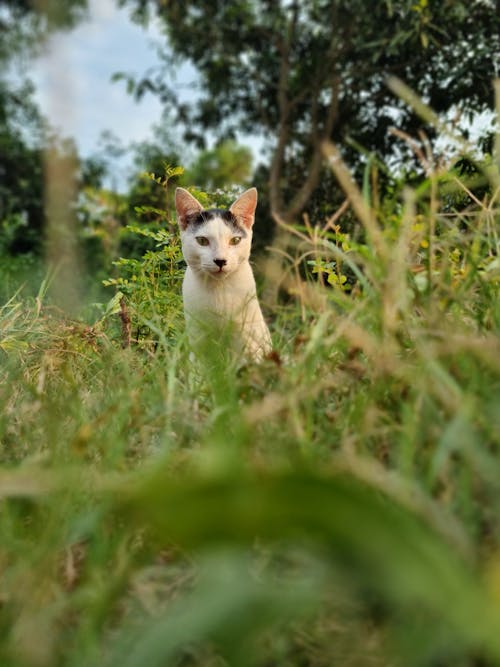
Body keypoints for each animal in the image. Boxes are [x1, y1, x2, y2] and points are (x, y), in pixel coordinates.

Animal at [174, 185, 272, 362]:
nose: (220, 260)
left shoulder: (247, 337)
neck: (218, 289)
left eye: (235, 240)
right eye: (202, 241)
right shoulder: (197, 337)